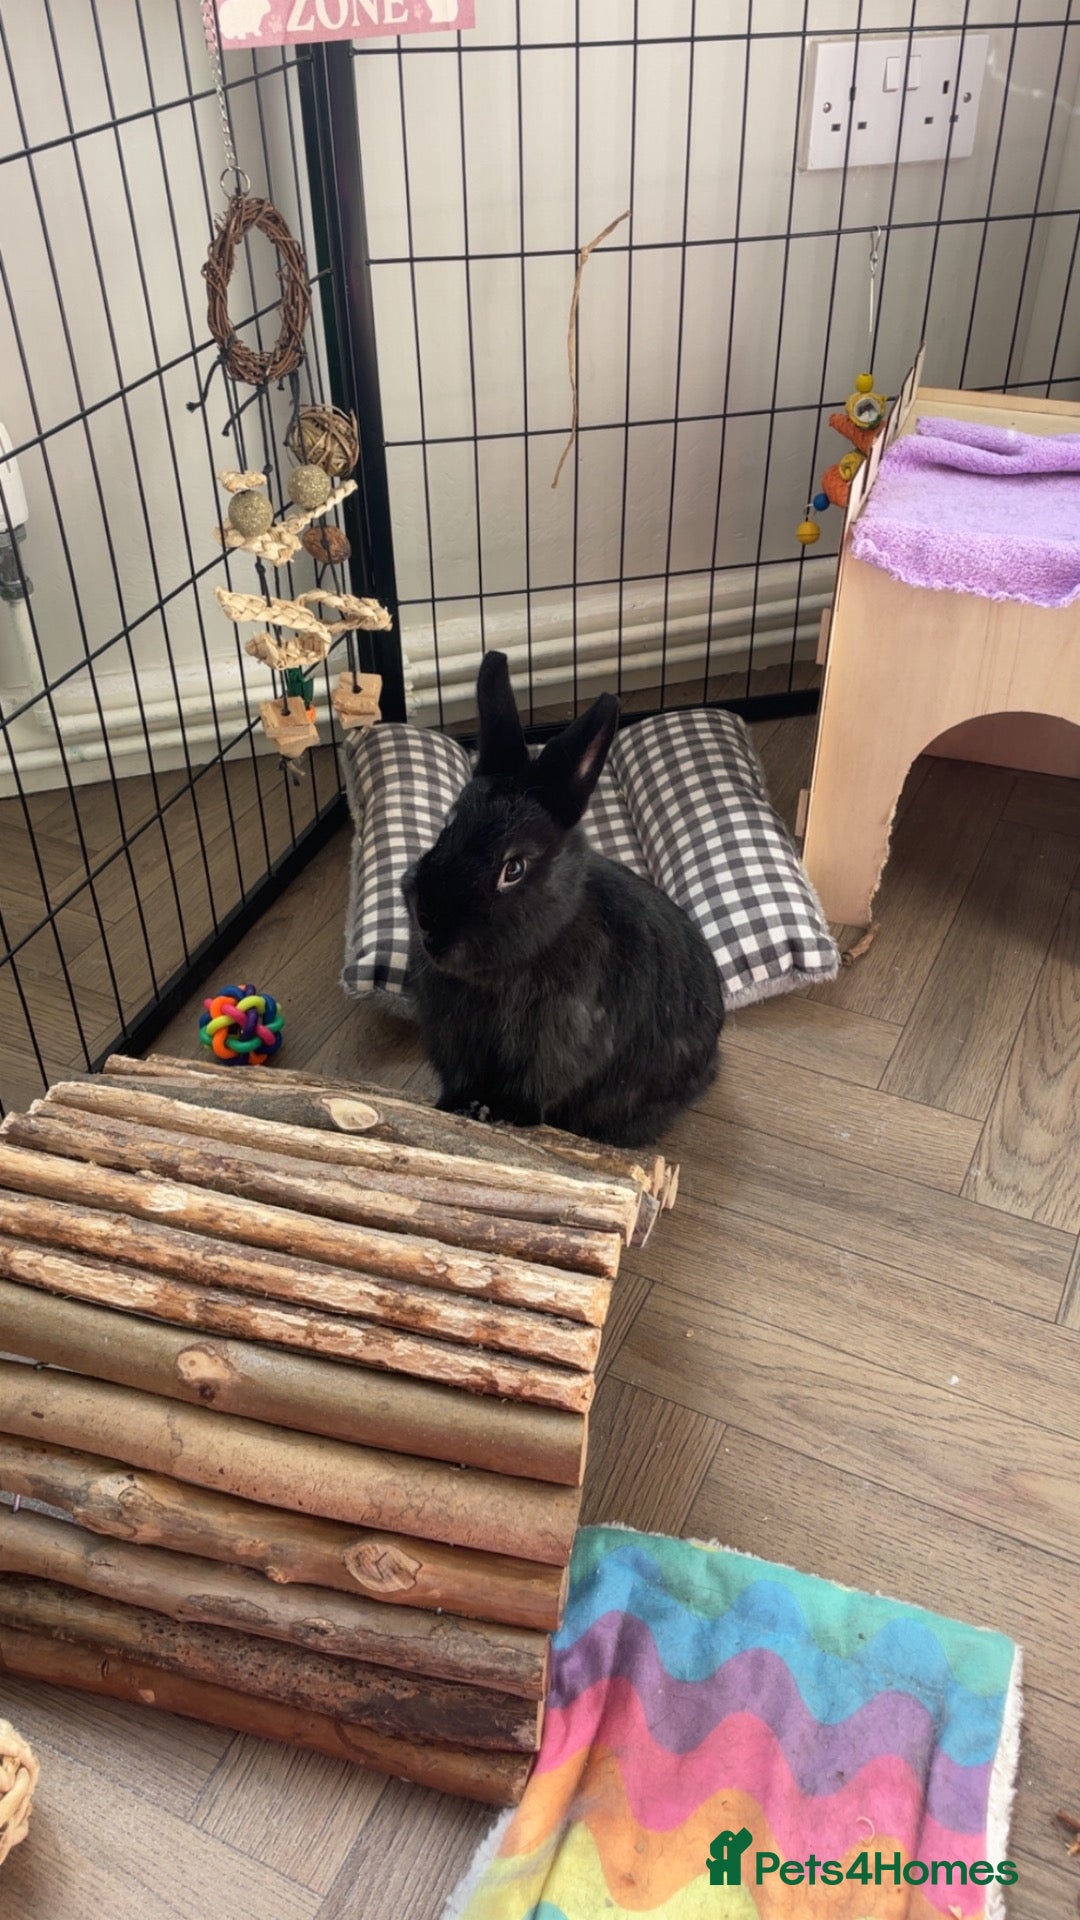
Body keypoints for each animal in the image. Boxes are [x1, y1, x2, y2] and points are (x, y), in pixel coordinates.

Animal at [401, 651, 724, 1146]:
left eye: (514, 869)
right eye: (448, 826)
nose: (429, 926)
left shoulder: (561, 1042)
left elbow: (534, 1086)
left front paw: (502, 1113)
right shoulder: (454, 1038)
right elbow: (461, 1078)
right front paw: (455, 1107)